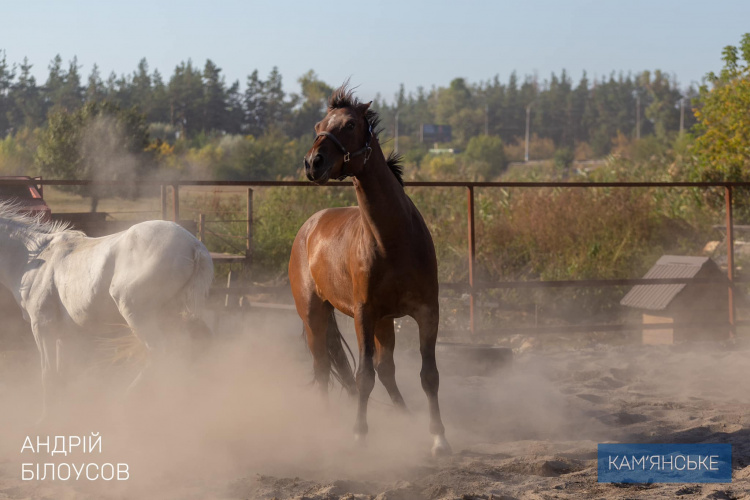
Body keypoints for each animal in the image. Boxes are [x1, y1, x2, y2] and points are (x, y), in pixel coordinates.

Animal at [0, 203, 214, 418]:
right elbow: (64, 375)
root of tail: (195, 245)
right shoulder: (66, 336)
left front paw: (46, 419)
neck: (37, 259)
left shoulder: (42, 327)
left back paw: (126, 402)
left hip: (137, 313)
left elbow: (48, 374)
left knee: (160, 353)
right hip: (172, 318)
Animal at [290, 86, 450, 458]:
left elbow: (429, 374)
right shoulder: (364, 314)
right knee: (323, 367)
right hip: (314, 314)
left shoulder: (426, 312)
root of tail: (309, 226)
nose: (313, 163)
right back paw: (327, 424)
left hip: (383, 321)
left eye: (350, 124)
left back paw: (405, 418)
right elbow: (363, 376)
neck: (394, 241)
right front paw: (360, 434)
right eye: (318, 125)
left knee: (385, 368)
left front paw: (438, 437)